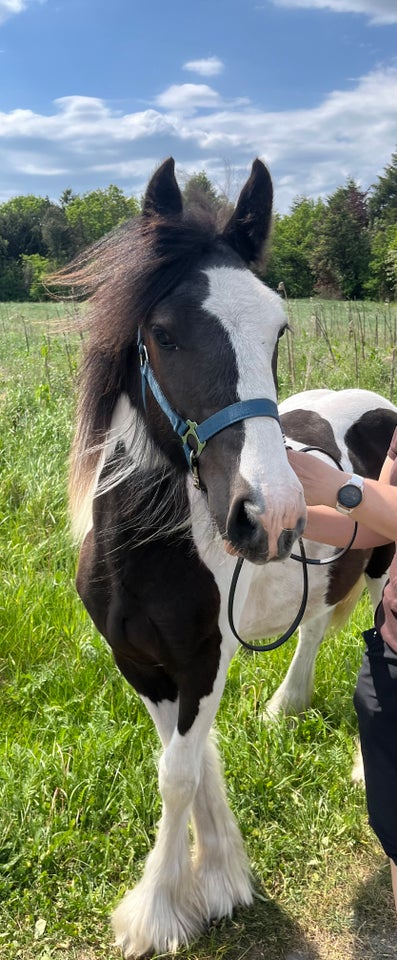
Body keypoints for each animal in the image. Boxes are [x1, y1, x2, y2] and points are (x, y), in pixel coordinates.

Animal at [61, 156, 392, 952]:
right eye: (164, 333)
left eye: (277, 330)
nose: (270, 515)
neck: (146, 556)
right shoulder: (143, 664)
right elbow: (190, 761)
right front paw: (216, 877)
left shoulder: (203, 658)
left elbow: (178, 774)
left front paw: (160, 911)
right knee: (314, 626)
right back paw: (286, 708)